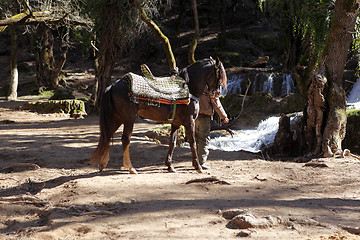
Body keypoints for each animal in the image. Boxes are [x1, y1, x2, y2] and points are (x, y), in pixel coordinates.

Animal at [89, 58, 226, 174]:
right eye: (219, 75)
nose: (217, 92)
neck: (189, 88)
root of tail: (113, 85)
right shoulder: (189, 121)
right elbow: (193, 143)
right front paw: (197, 166)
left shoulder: (176, 123)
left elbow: (172, 143)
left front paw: (169, 166)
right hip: (128, 119)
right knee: (125, 140)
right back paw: (130, 167)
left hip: (118, 118)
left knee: (108, 135)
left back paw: (103, 164)